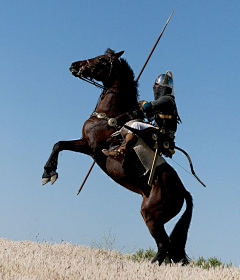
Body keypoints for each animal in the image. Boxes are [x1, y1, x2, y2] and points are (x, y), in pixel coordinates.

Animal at [42, 48, 193, 266]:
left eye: (102, 60)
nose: (74, 65)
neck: (110, 114)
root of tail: (183, 191)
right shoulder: (84, 142)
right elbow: (58, 144)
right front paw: (48, 172)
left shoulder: (91, 147)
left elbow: (60, 145)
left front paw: (49, 172)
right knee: (166, 247)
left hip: (152, 215)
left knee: (164, 245)